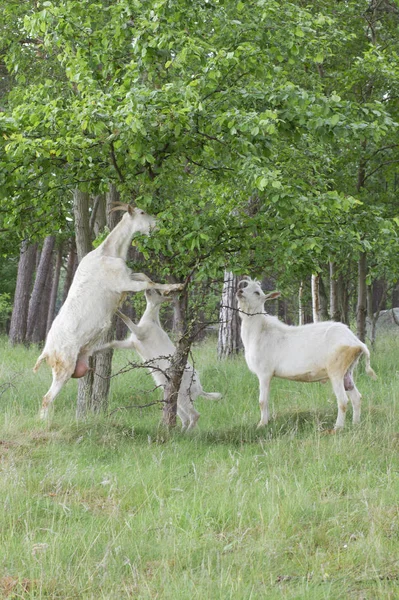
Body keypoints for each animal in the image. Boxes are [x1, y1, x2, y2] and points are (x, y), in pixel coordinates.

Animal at [33, 202, 184, 418]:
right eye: (142, 212)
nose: (157, 223)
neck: (109, 252)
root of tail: (46, 352)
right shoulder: (123, 283)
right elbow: (148, 283)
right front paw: (175, 287)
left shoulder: (128, 277)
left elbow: (143, 275)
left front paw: (169, 289)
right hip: (64, 367)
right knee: (47, 399)